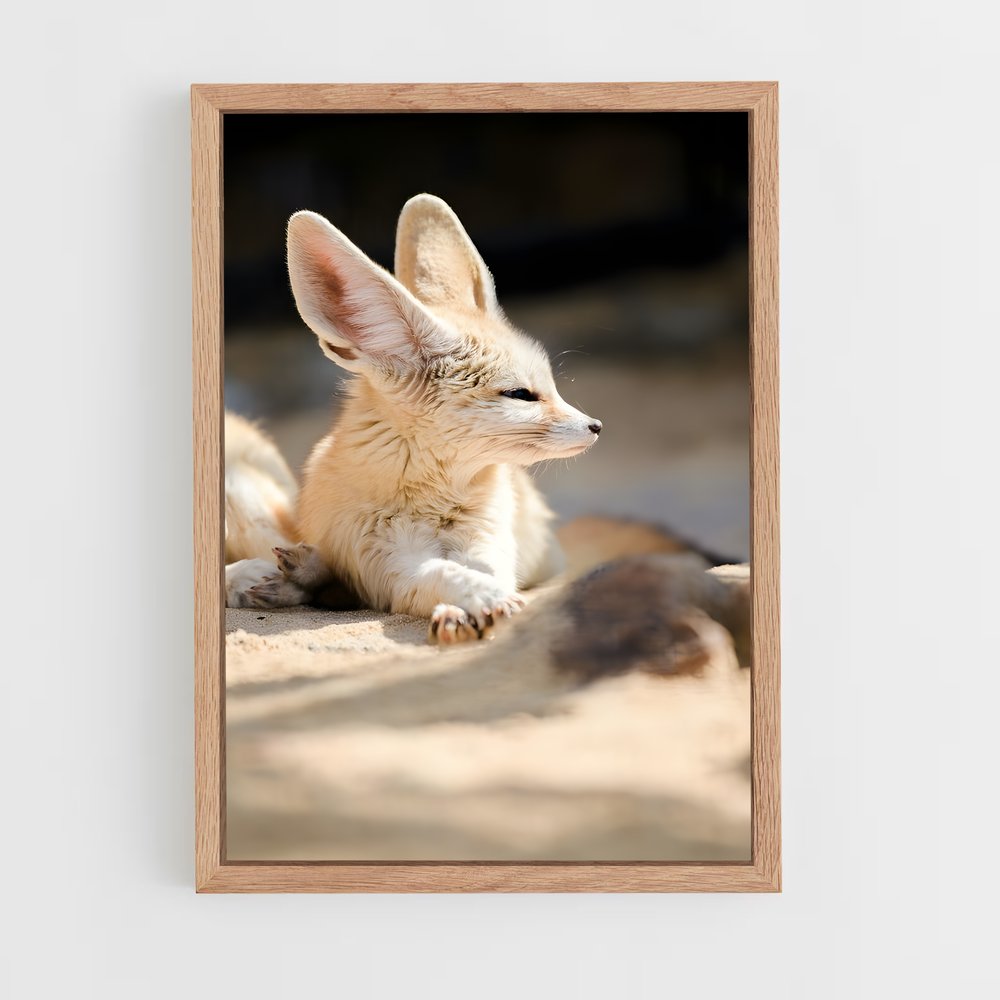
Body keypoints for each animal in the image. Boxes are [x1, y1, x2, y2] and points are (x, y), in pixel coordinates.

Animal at [225, 194, 603, 643]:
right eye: (521, 395)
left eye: (551, 387)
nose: (596, 427)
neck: (436, 503)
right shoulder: (391, 564)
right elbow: (441, 573)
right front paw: (473, 602)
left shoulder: (488, 544)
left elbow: (488, 573)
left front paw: (481, 604)